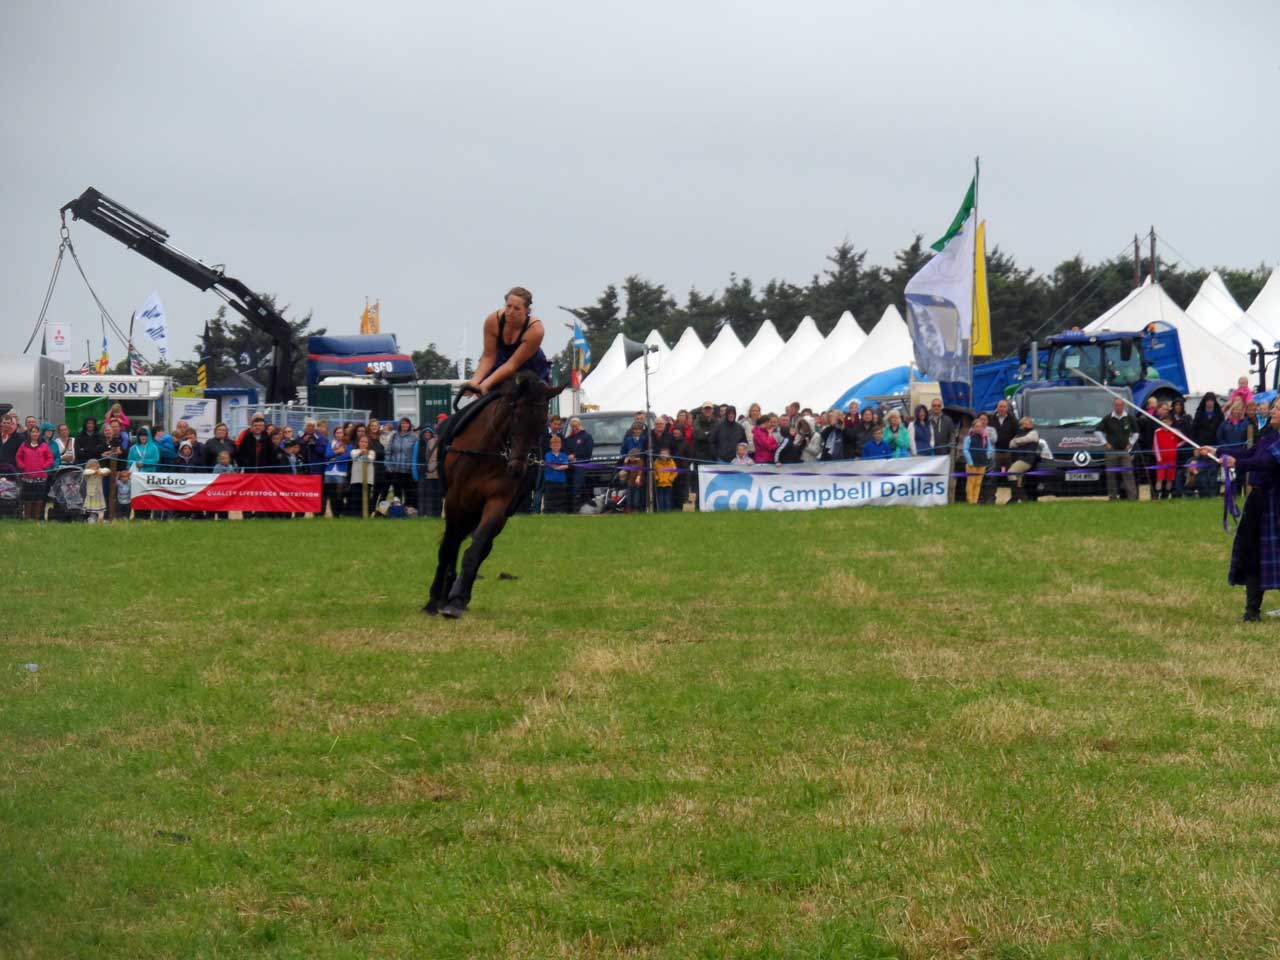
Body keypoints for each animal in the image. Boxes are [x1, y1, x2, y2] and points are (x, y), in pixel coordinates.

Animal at [424, 371, 565, 619]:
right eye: (517, 415)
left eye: (543, 423)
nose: (517, 469)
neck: (488, 453)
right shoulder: (454, 499)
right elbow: (448, 546)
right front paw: (433, 600)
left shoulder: (498, 503)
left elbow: (477, 547)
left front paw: (456, 600)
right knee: (453, 541)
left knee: (480, 546)